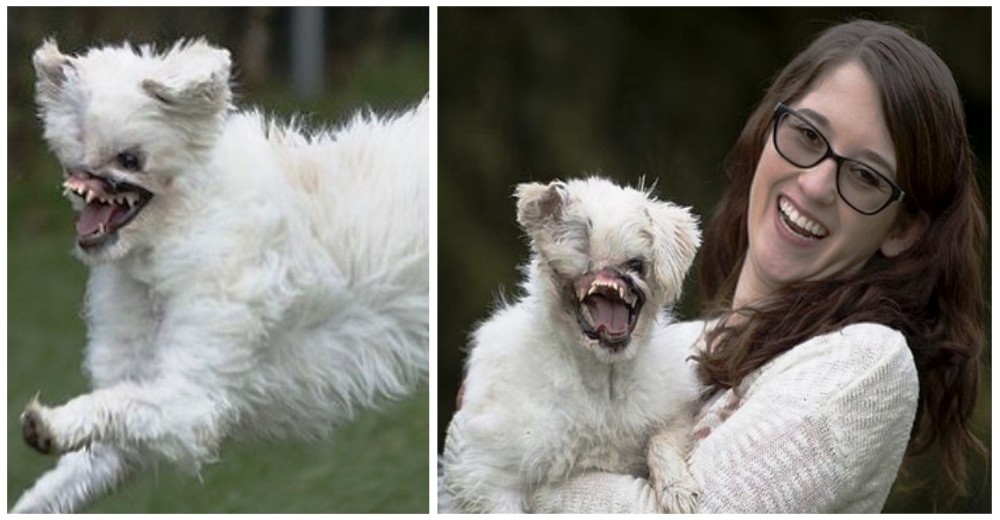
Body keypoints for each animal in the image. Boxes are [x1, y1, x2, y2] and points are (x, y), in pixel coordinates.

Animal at [12, 38, 426, 512]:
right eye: (77, 147)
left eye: (129, 159)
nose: (86, 179)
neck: (178, 231)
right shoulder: (126, 439)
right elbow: (56, 486)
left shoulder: (191, 403)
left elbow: (113, 405)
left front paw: (50, 422)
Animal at [442, 178, 708, 512]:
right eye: (582, 261)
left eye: (637, 265)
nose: (618, 277)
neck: (603, 380)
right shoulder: (487, 475)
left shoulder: (673, 414)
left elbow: (661, 441)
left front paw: (677, 488)